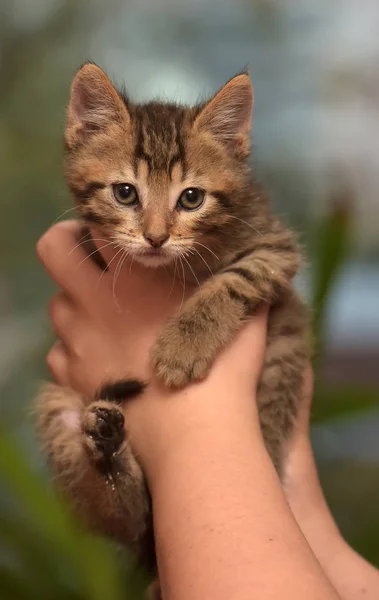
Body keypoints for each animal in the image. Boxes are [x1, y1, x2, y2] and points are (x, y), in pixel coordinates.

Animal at [35, 65, 308, 584]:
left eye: (192, 198)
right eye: (125, 193)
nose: (157, 237)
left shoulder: (275, 247)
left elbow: (232, 280)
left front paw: (182, 345)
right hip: (57, 404)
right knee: (131, 516)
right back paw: (109, 454)